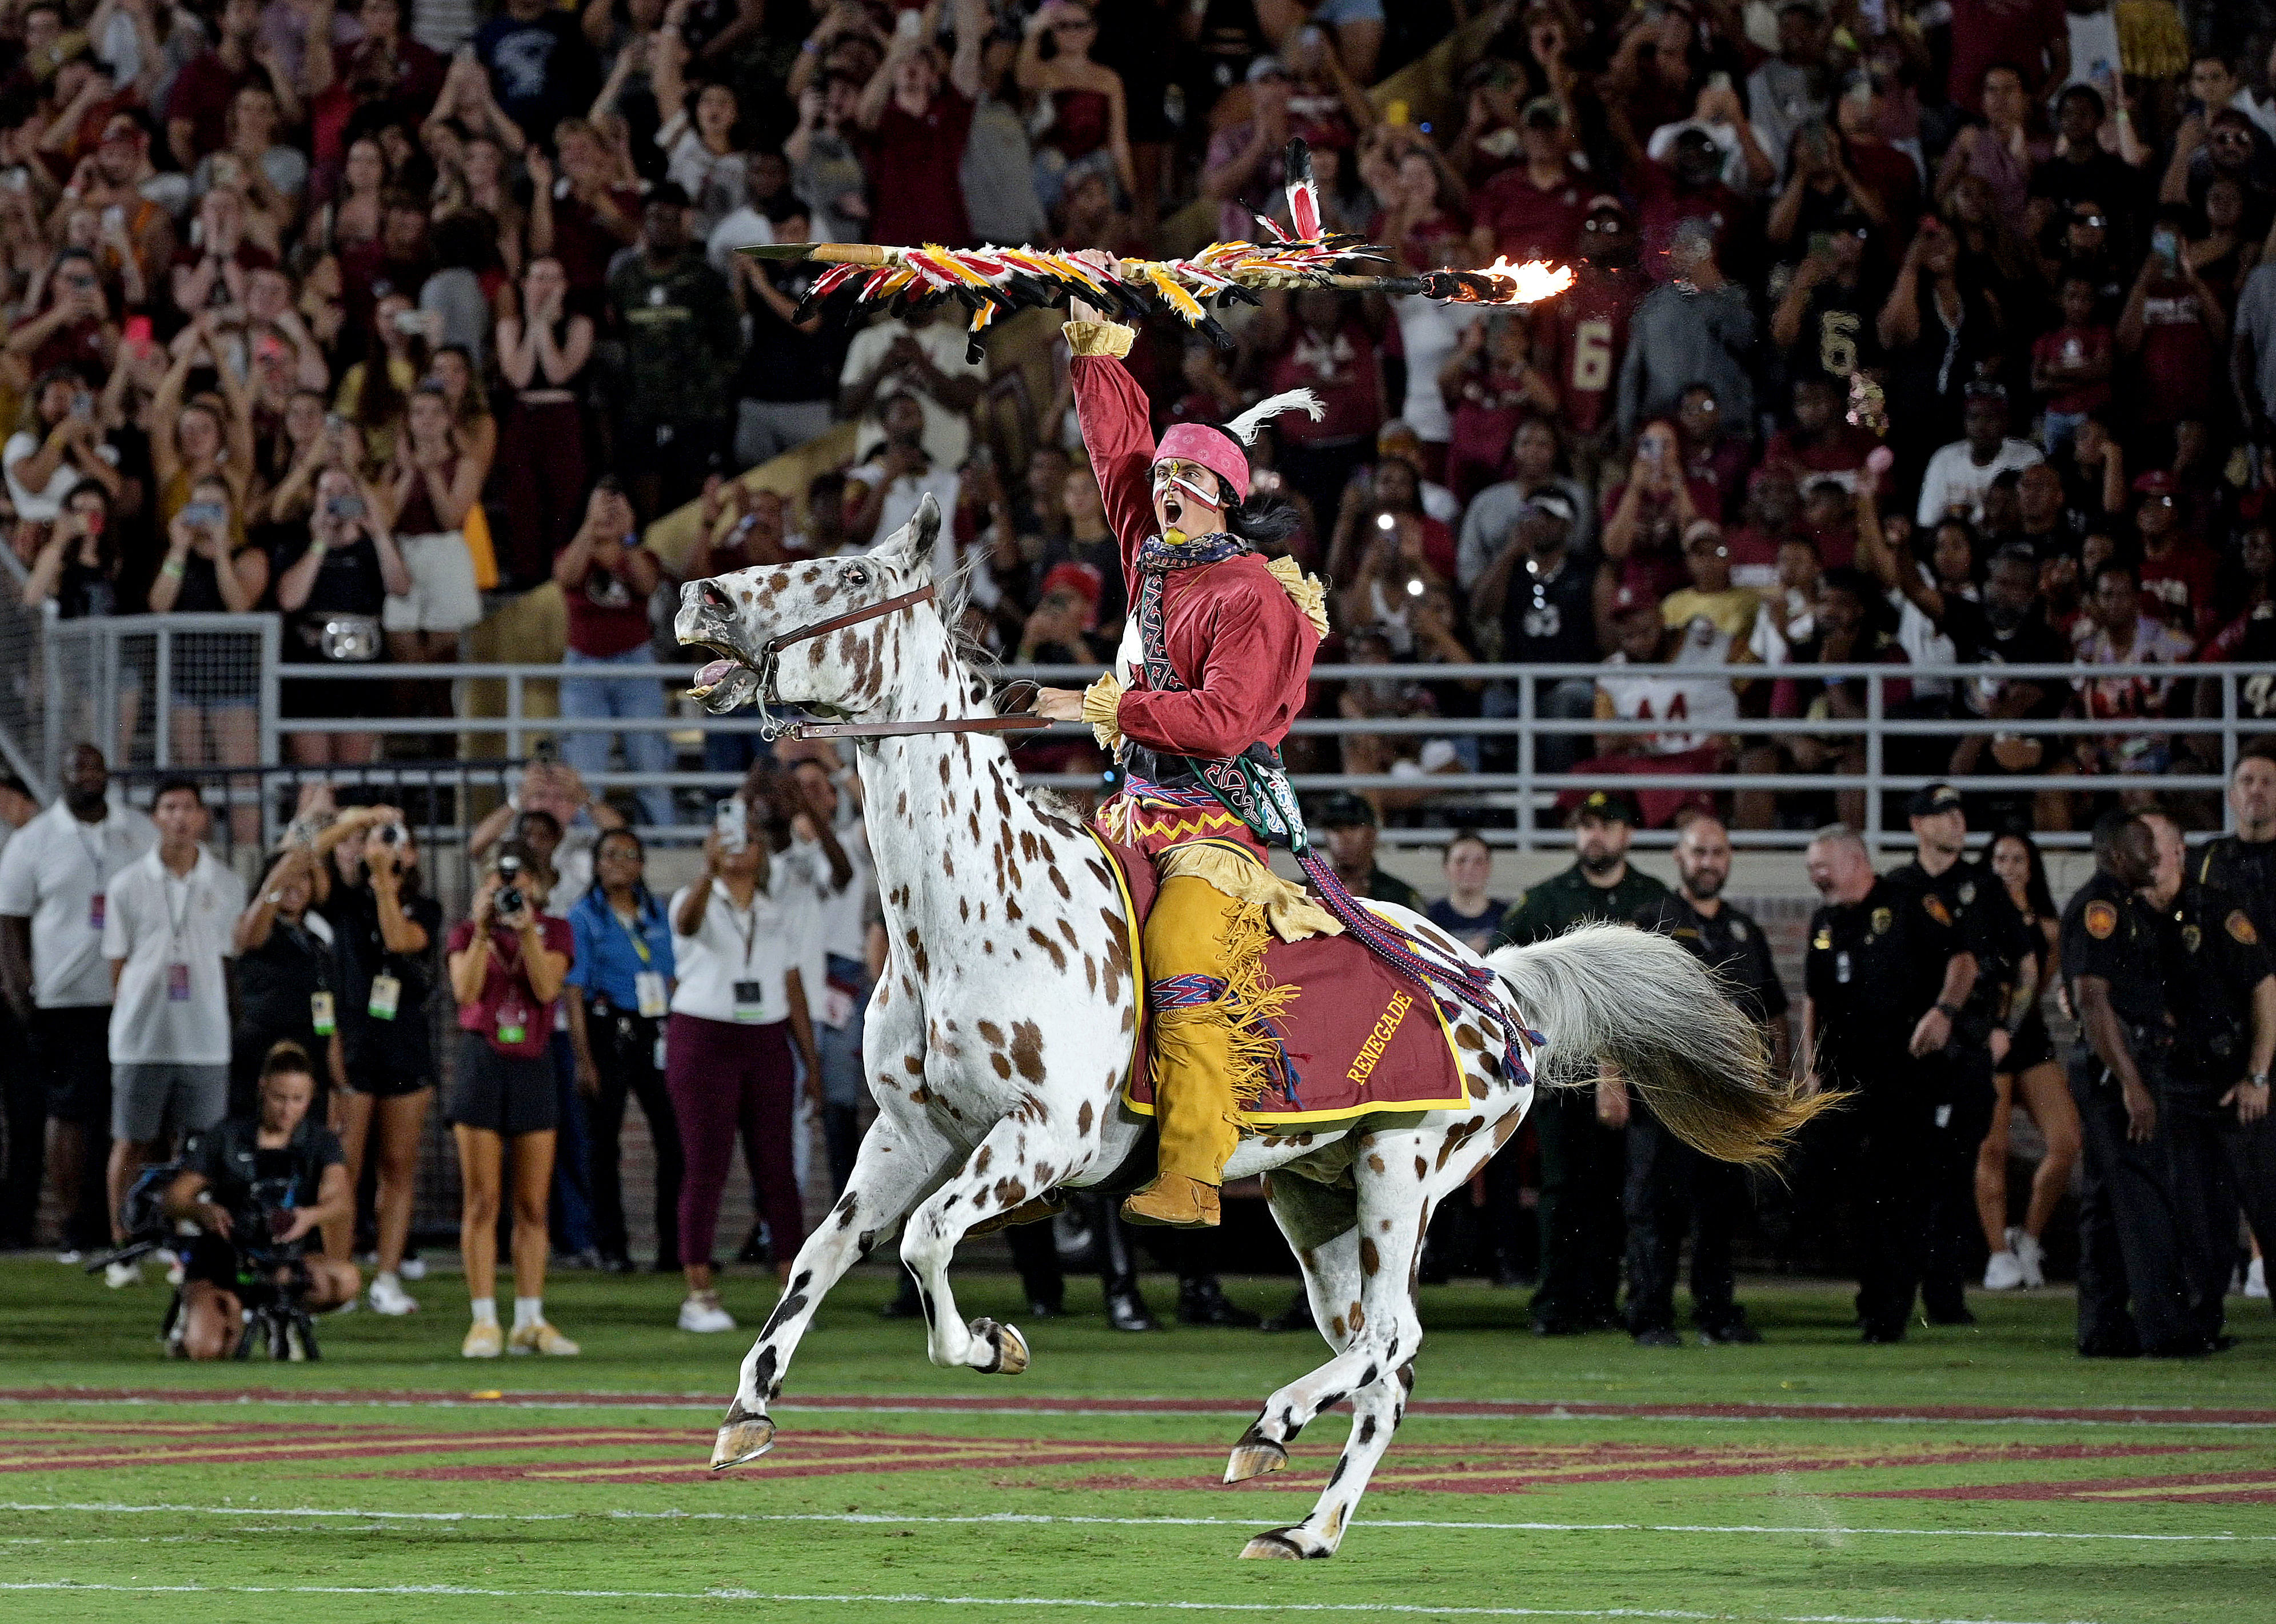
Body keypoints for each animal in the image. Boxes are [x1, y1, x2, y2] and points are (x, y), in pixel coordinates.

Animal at [664, 495, 1820, 1555]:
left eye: (853, 577)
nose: (700, 596)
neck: (968, 916)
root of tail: (1492, 979)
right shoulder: (907, 1134)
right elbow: (823, 1251)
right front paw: (748, 1408)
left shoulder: (1043, 1137)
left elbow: (926, 1241)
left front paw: (993, 1343)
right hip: (1318, 1202)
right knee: (1385, 1364)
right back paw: (1300, 1508)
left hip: (1404, 1171)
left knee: (1392, 1335)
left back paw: (1280, 1445)